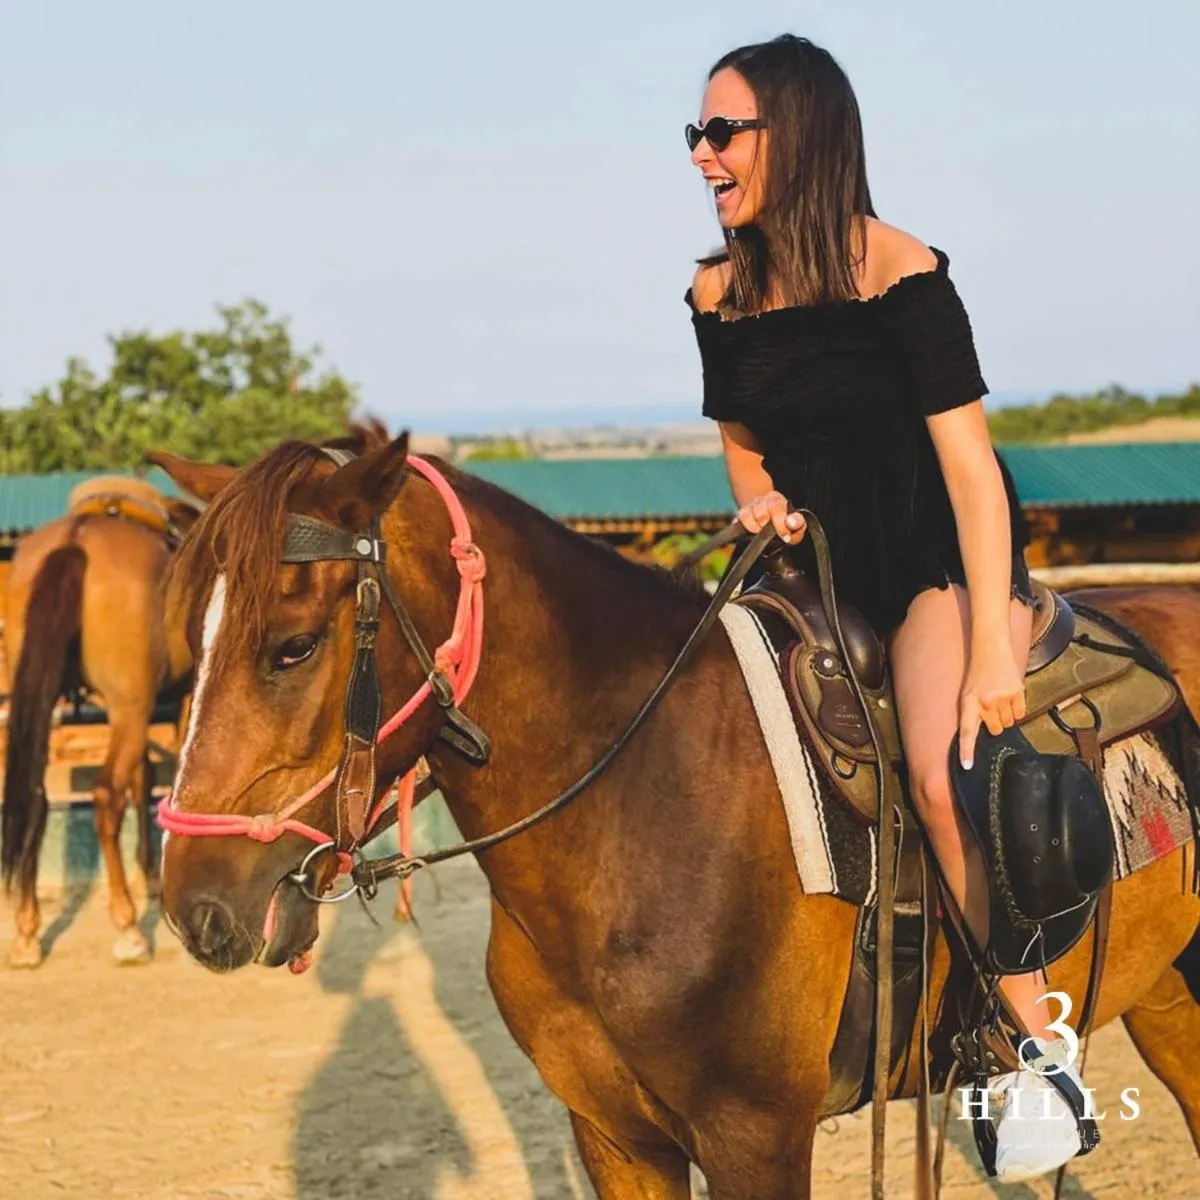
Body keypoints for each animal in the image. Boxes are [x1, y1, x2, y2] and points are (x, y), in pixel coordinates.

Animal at [1, 477, 197, 967]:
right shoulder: (175, 701)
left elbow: (145, 778)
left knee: (35, 799)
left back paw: (27, 932)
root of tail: (78, 538)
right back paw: (128, 929)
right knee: (107, 795)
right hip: (129, 706)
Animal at [151, 433, 1200, 1199]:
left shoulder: (756, 1138)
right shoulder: (615, 1138)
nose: (195, 908)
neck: (640, 812)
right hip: (1163, 998)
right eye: (188, 644)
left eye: (292, 647)